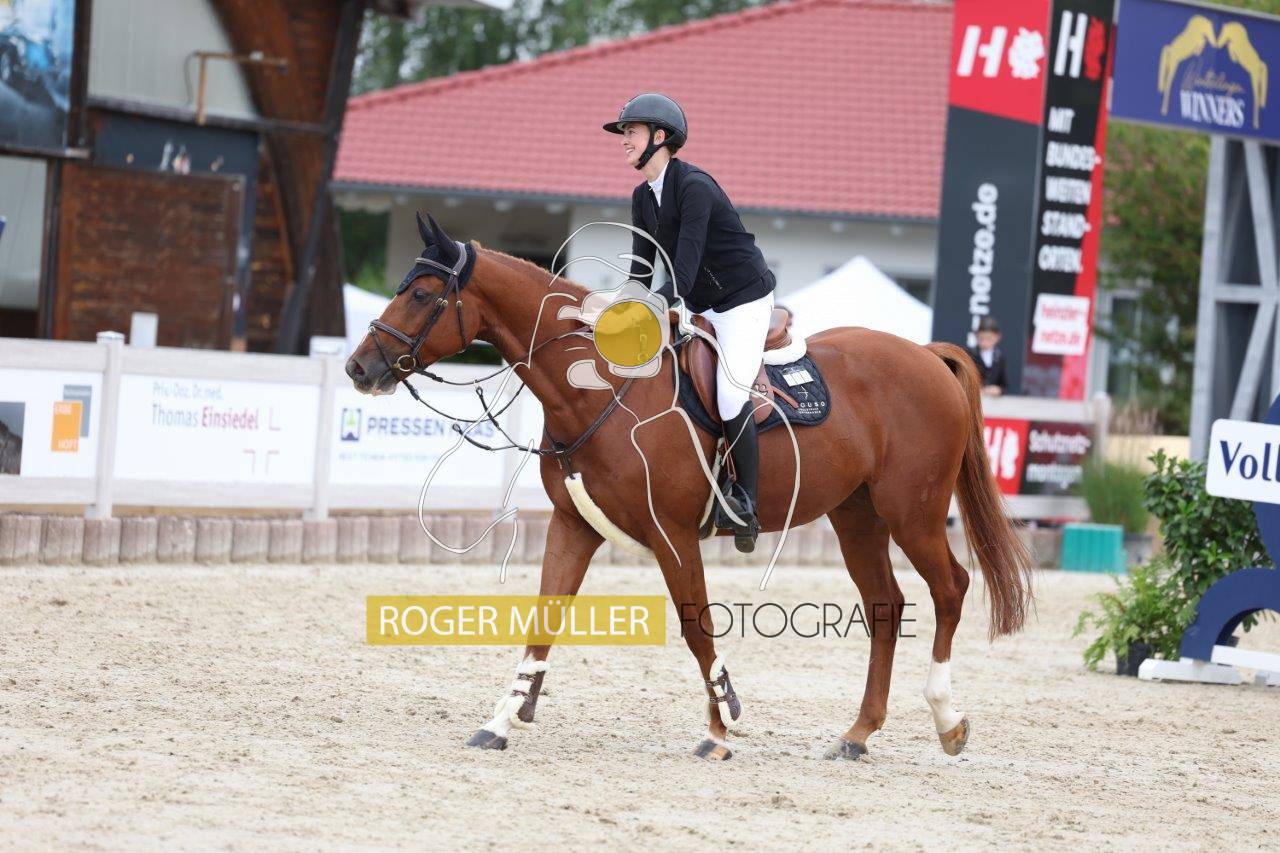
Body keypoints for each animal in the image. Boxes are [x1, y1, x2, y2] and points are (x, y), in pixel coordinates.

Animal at [346, 213, 1033, 761]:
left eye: (423, 294)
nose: (360, 367)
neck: (597, 389)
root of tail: (926, 355)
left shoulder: (672, 534)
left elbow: (696, 625)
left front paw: (720, 729)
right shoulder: (574, 527)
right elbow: (544, 618)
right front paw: (502, 720)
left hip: (911, 511)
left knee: (950, 588)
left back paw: (947, 720)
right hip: (857, 516)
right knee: (886, 606)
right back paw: (857, 734)